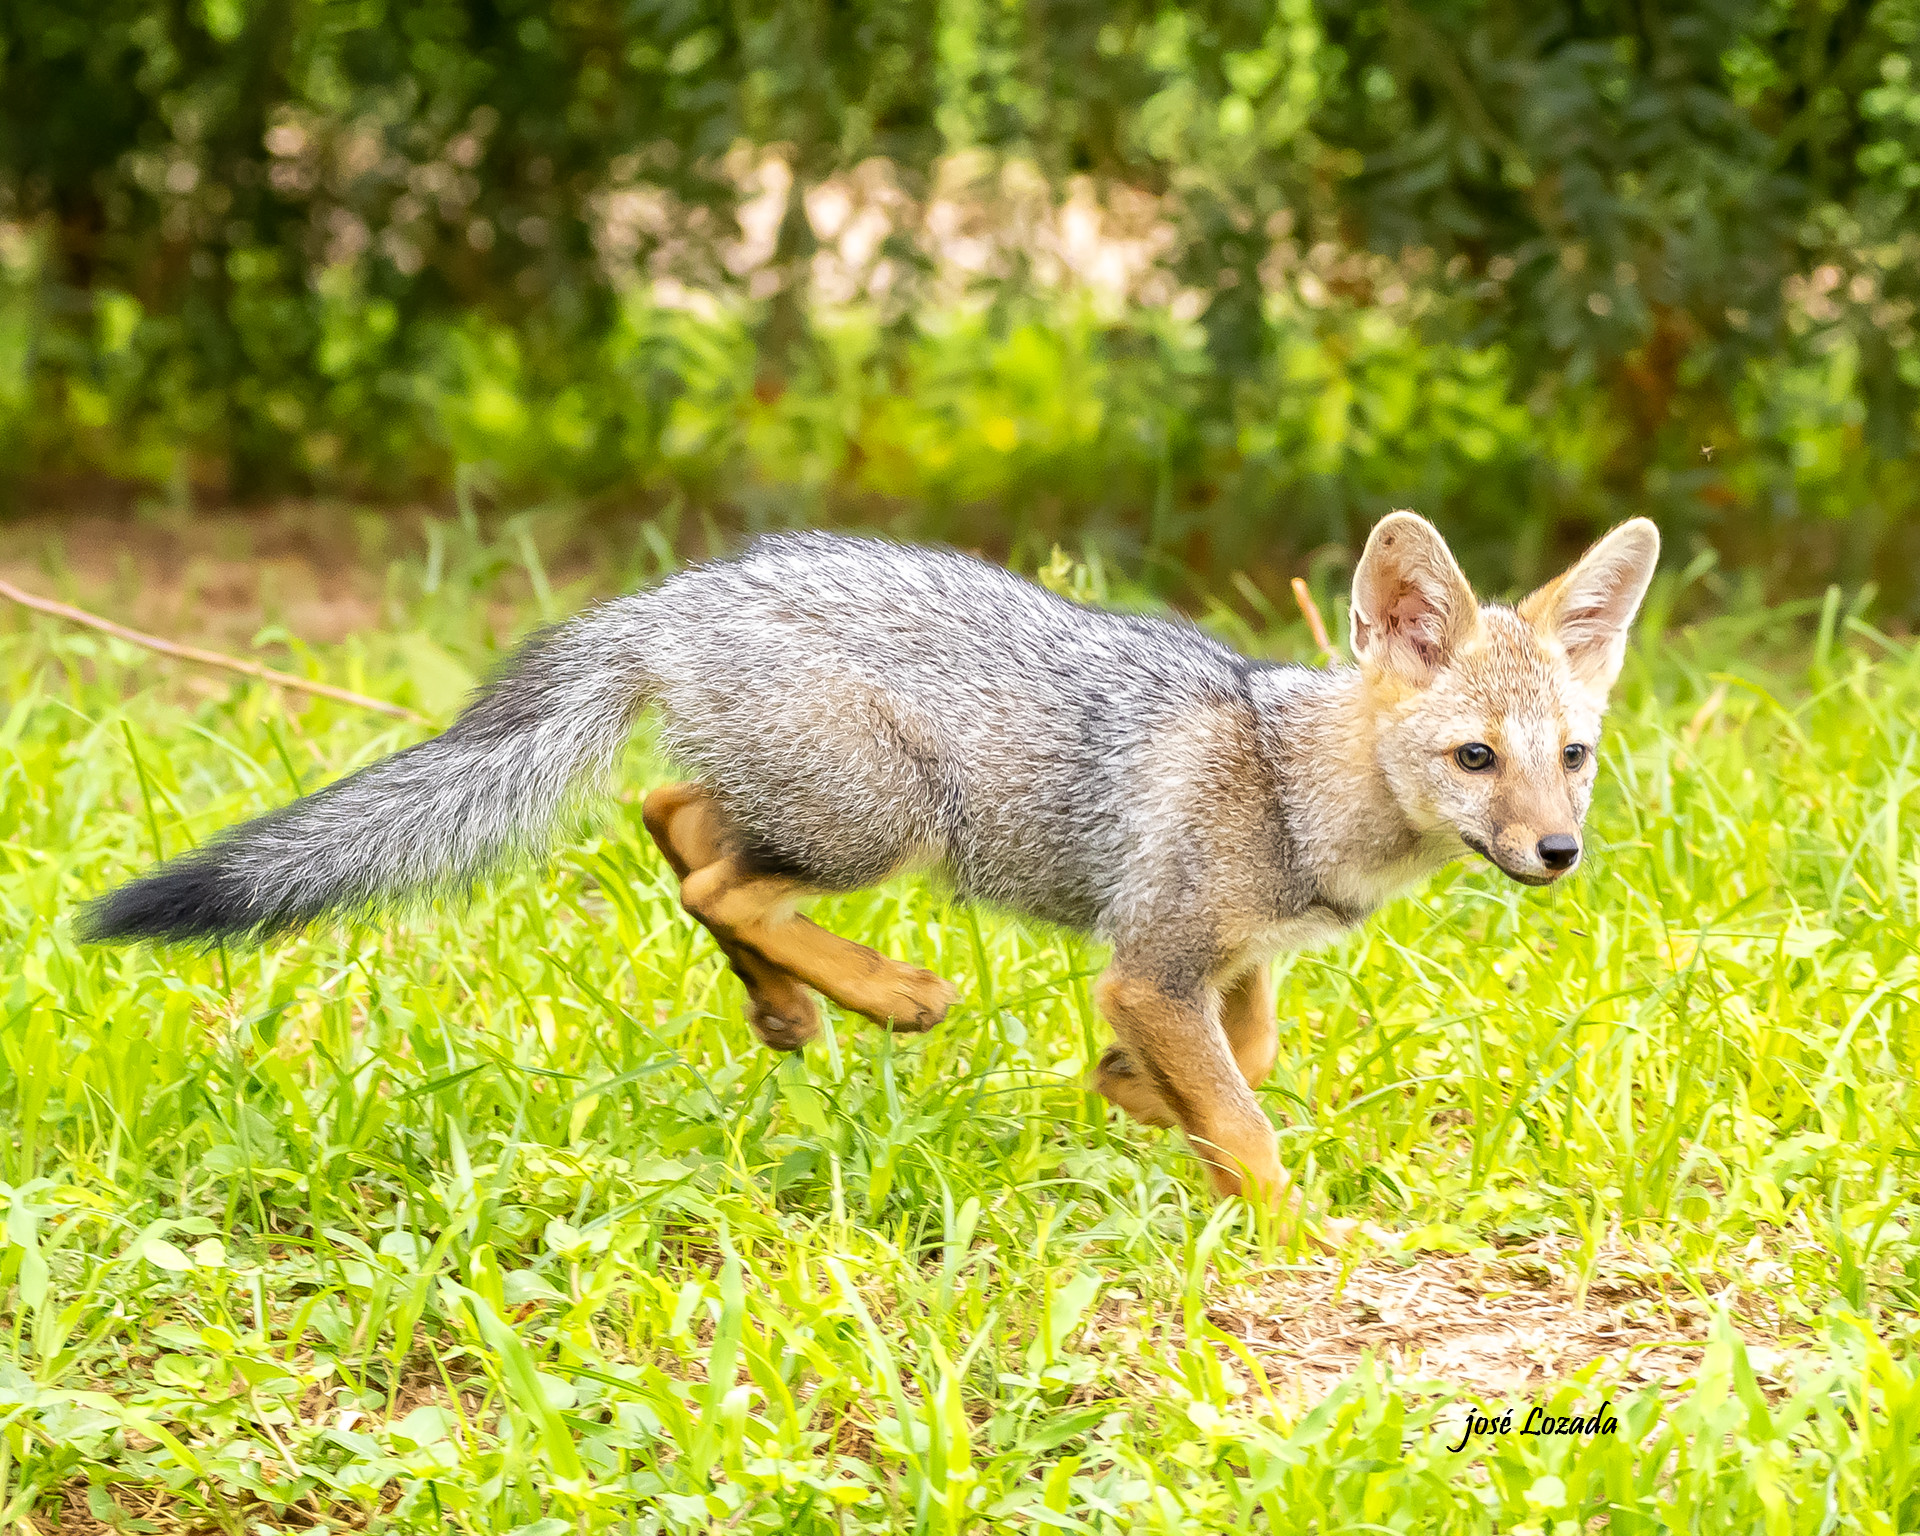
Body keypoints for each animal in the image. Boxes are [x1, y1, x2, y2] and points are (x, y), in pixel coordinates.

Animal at [81, 511, 1659, 1217]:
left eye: (1571, 756)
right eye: (1477, 760)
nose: (1558, 854)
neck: (1289, 785)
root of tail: (682, 591)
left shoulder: (1217, 961)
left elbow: (1246, 1059)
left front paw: (1132, 1096)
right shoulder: (1154, 962)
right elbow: (1248, 1120)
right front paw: (1287, 1231)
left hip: (808, 811)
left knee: (676, 822)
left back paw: (788, 1007)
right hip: (883, 823)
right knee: (713, 876)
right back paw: (889, 996)